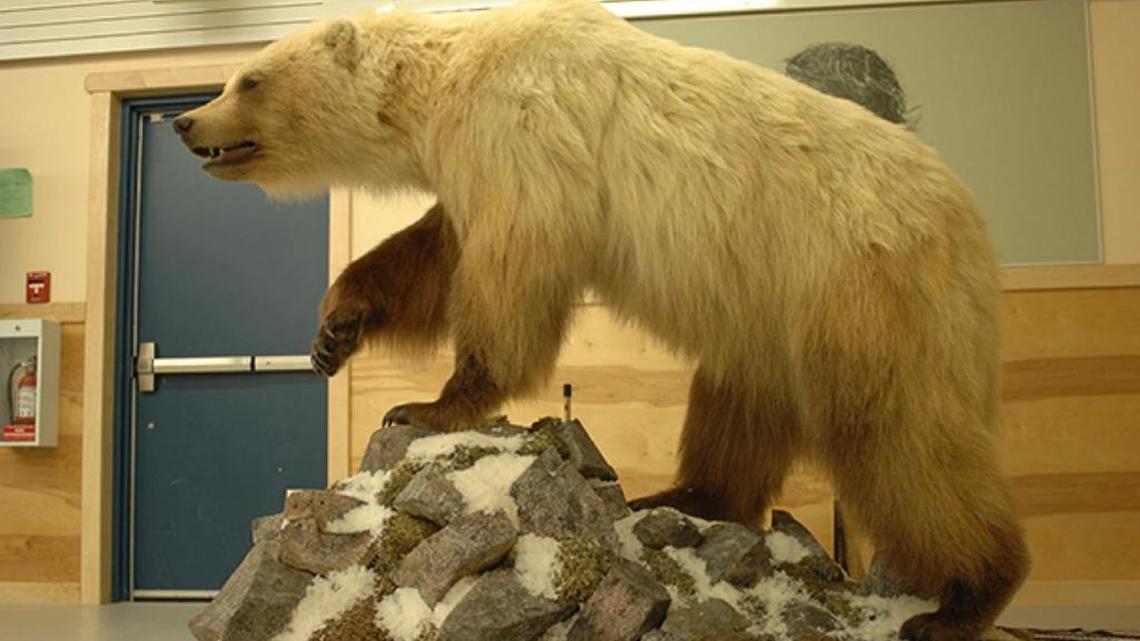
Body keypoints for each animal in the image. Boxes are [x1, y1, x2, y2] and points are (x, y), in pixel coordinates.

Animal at [172, 2, 1029, 640]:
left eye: (250, 76)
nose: (185, 122)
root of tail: (974, 230)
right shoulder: (475, 161)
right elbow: (436, 249)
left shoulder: (523, 134)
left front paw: (428, 403)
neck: (449, 78)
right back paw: (681, 495)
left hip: (859, 284)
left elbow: (508, 273)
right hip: (766, 315)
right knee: (741, 400)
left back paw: (965, 596)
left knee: (896, 432)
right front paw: (335, 328)